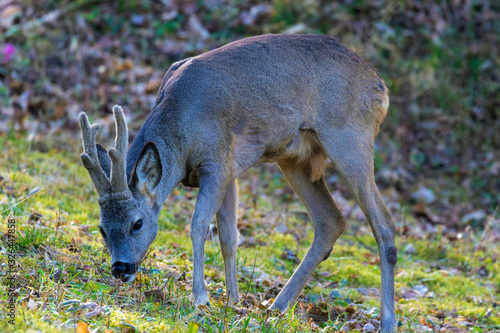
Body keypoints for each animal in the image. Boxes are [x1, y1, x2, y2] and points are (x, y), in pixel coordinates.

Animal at [80, 33, 396, 330]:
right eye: (102, 229)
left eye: (137, 223)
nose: (120, 268)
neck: (182, 129)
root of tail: (380, 84)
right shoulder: (229, 172)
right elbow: (229, 236)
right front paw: (233, 301)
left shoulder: (217, 162)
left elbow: (199, 225)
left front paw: (201, 298)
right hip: (295, 158)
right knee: (331, 220)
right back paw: (277, 307)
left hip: (350, 138)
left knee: (384, 224)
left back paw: (388, 322)